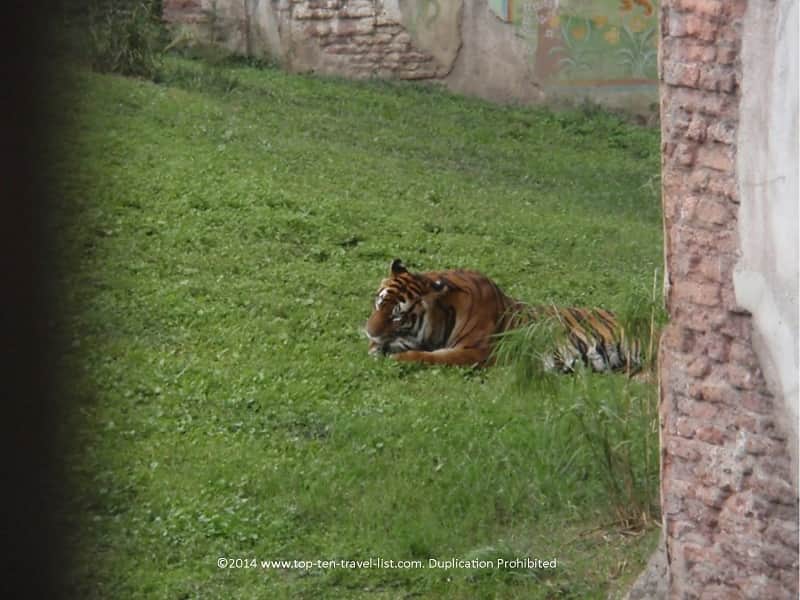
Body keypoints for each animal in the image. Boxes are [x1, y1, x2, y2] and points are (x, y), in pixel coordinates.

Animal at [365, 259, 642, 372]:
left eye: (398, 317)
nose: (369, 332)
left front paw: (397, 357)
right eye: (379, 304)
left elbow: (430, 356)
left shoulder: (477, 352)